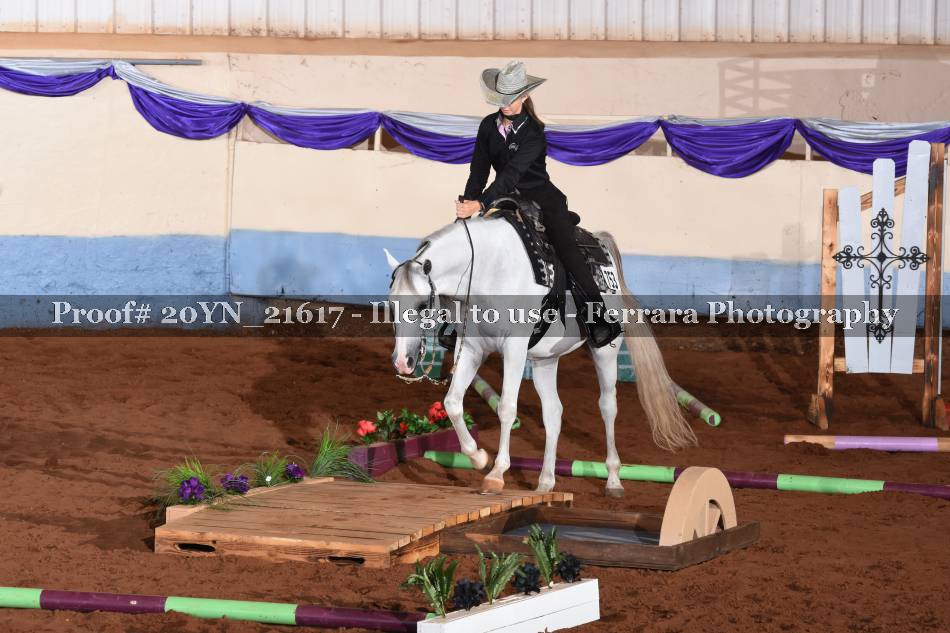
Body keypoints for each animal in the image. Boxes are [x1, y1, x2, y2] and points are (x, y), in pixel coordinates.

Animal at [385, 214, 696, 496]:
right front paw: (478, 457)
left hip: (605, 353)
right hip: (545, 360)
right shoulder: (473, 349)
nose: (402, 361)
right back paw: (546, 481)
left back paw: (613, 480)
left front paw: (496, 474)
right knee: (554, 413)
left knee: (608, 407)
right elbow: (452, 403)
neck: (488, 269)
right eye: (390, 303)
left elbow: (506, 408)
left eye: (423, 304)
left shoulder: (514, 349)